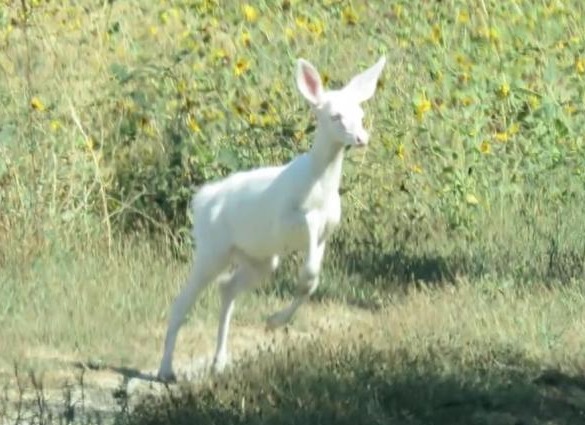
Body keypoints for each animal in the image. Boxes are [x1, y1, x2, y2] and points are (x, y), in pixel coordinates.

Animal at [156, 54, 384, 380]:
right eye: (335, 116)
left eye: (361, 113)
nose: (361, 137)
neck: (320, 187)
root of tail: (201, 201)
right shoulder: (288, 220)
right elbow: (308, 272)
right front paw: (275, 320)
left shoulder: (326, 233)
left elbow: (310, 281)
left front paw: (273, 321)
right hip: (213, 249)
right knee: (182, 301)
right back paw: (165, 370)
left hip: (260, 259)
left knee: (227, 288)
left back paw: (219, 362)